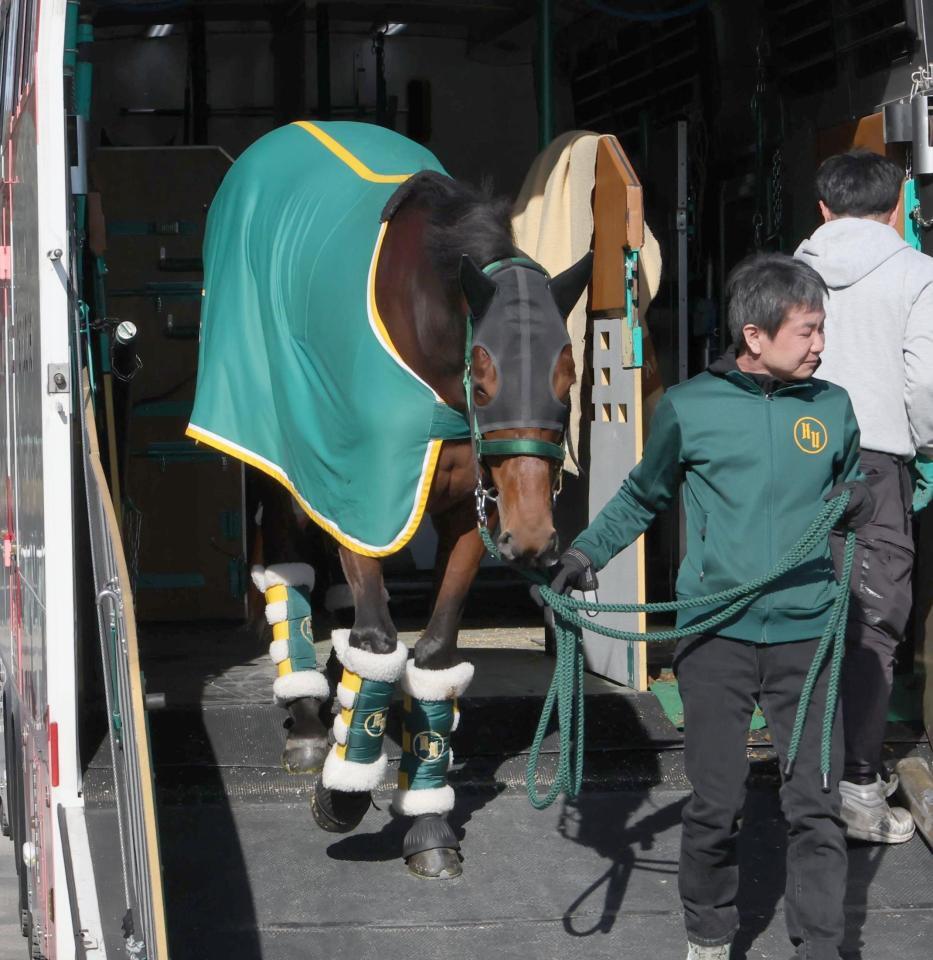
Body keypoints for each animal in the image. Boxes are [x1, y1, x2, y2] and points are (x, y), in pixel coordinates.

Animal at [186, 124, 588, 880]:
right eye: (483, 377)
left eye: (568, 377)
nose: (530, 537)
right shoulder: (358, 485)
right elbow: (376, 637)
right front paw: (344, 789)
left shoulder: (466, 512)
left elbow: (431, 653)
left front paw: (425, 819)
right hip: (273, 445)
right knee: (288, 565)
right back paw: (311, 718)